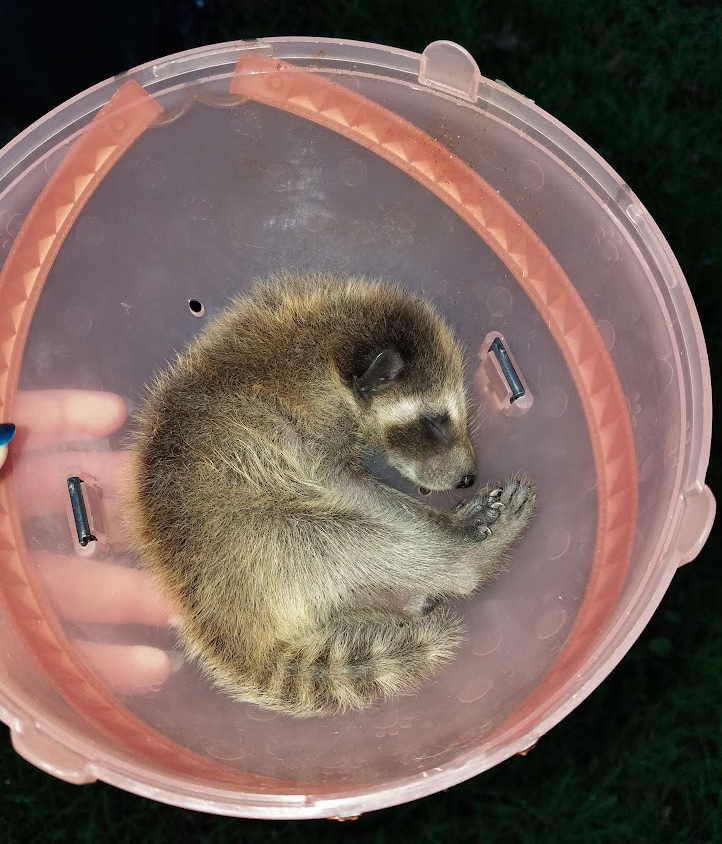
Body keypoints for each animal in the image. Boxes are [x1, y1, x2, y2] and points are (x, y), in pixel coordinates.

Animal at [126, 272, 535, 717]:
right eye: (435, 421)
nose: (468, 479)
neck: (328, 350)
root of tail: (235, 628)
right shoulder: (312, 421)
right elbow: (347, 486)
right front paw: (449, 523)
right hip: (269, 542)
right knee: (358, 534)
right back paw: (469, 559)